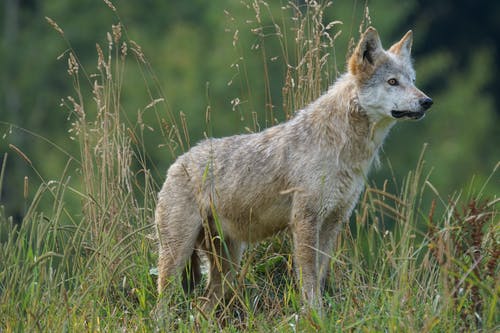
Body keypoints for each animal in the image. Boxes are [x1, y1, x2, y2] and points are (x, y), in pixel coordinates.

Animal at [155, 27, 434, 310]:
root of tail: (177, 163)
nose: (427, 101)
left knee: (202, 307)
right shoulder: (305, 220)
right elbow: (308, 280)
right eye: (392, 82)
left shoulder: (333, 221)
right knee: (161, 305)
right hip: (178, 257)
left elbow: (319, 276)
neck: (343, 148)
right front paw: (313, 314)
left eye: (412, 80)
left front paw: (318, 314)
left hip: (227, 267)